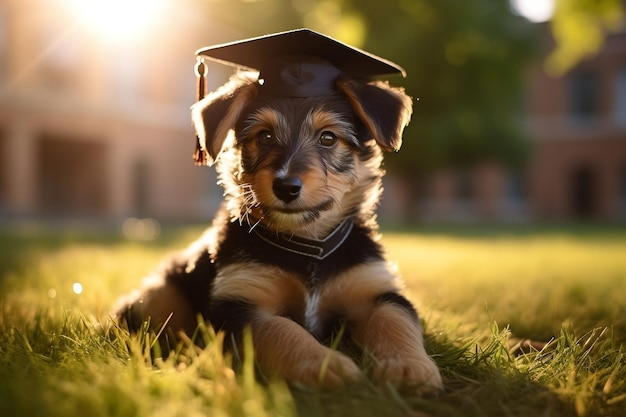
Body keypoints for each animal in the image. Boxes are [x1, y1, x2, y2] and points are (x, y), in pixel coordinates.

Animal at [113, 30, 444, 394]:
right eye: (264, 136)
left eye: (328, 138)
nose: (286, 186)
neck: (307, 247)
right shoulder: (242, 305)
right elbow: (284, 331)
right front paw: (325, 365)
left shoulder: (376, 290)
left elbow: (395, 321)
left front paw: (408, 368)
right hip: (160, 294)